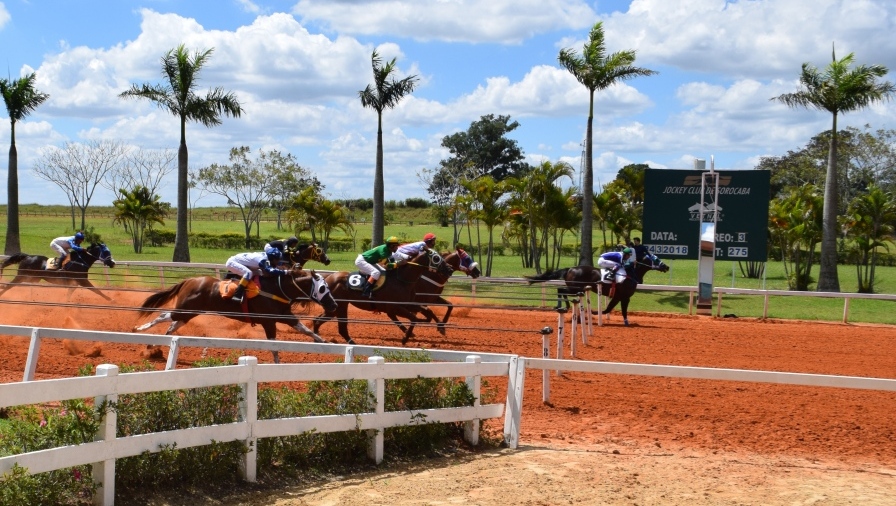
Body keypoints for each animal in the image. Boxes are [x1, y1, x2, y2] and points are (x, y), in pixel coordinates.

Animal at [134, 268, 338, 363]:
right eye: (323, 288)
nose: (334, 305)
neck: (277, 289)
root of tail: (190, 280)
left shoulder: (285, 316)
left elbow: (306, 330)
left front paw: (325, 342)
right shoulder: (268, 321)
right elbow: (273, 345)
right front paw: (276, 363)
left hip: (190, 313)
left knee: (171, 326)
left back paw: (156, 347)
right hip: (185, 309)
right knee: (163, 315)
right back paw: (140, 329)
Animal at [311, 249, 455, 345]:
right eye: (436, 258)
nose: (449, 269)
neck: (402, 279)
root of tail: (328, 278)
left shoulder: (408, 303)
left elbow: (427, 312)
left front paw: (438, 326)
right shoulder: (394, 307)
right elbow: (414, 317)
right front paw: (405, 338)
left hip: (333, 306)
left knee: (317, 320)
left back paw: (318, 338)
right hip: (340, 305)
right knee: (341, 327)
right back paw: (351, 343)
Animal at [525, 252, 669, 326]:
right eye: (656, 259)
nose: (666, 267)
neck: (630, 273)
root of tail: (570, 268)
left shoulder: (618, 296)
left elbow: (609, 309)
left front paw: (594, 313)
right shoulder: (624, 296)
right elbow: (618, 310)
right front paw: (626, 322)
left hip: (575, 288)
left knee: (560, 290)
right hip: (574, 288)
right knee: (561, 290)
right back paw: (566, 307)